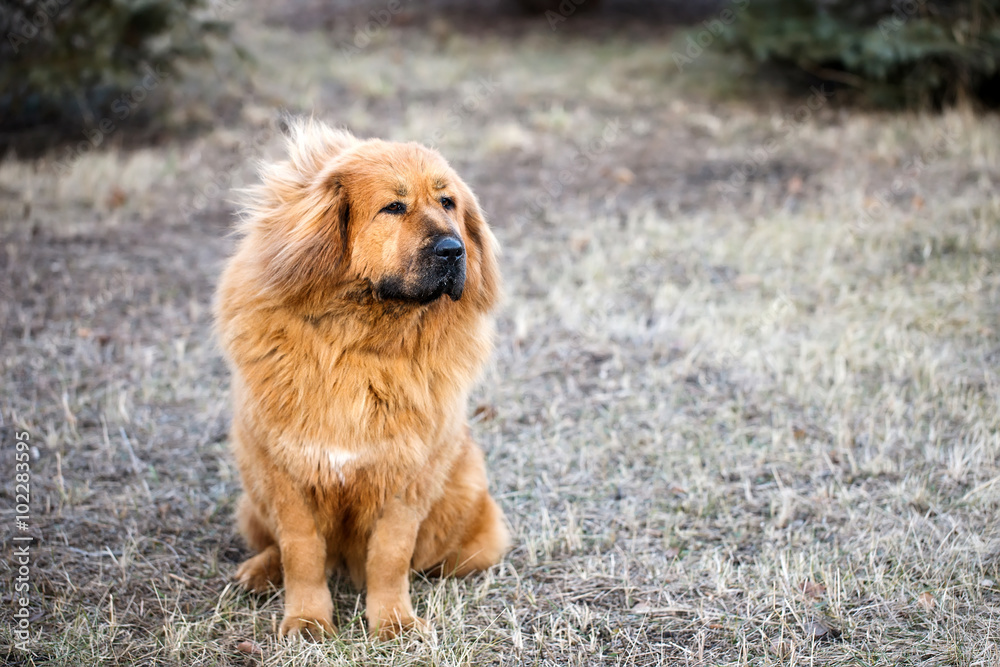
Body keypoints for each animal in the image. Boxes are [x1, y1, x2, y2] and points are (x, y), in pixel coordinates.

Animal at [212, 120, 508, 640]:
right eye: (394, 207)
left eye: (447, 203)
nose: (454, 249)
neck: (362, 345)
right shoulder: (287, 473)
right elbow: (302, 551)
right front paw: (307, 621)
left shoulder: (406, 476)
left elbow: (390, 555)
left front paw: (394, 622)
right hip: (252, 491)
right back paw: (259, 570)